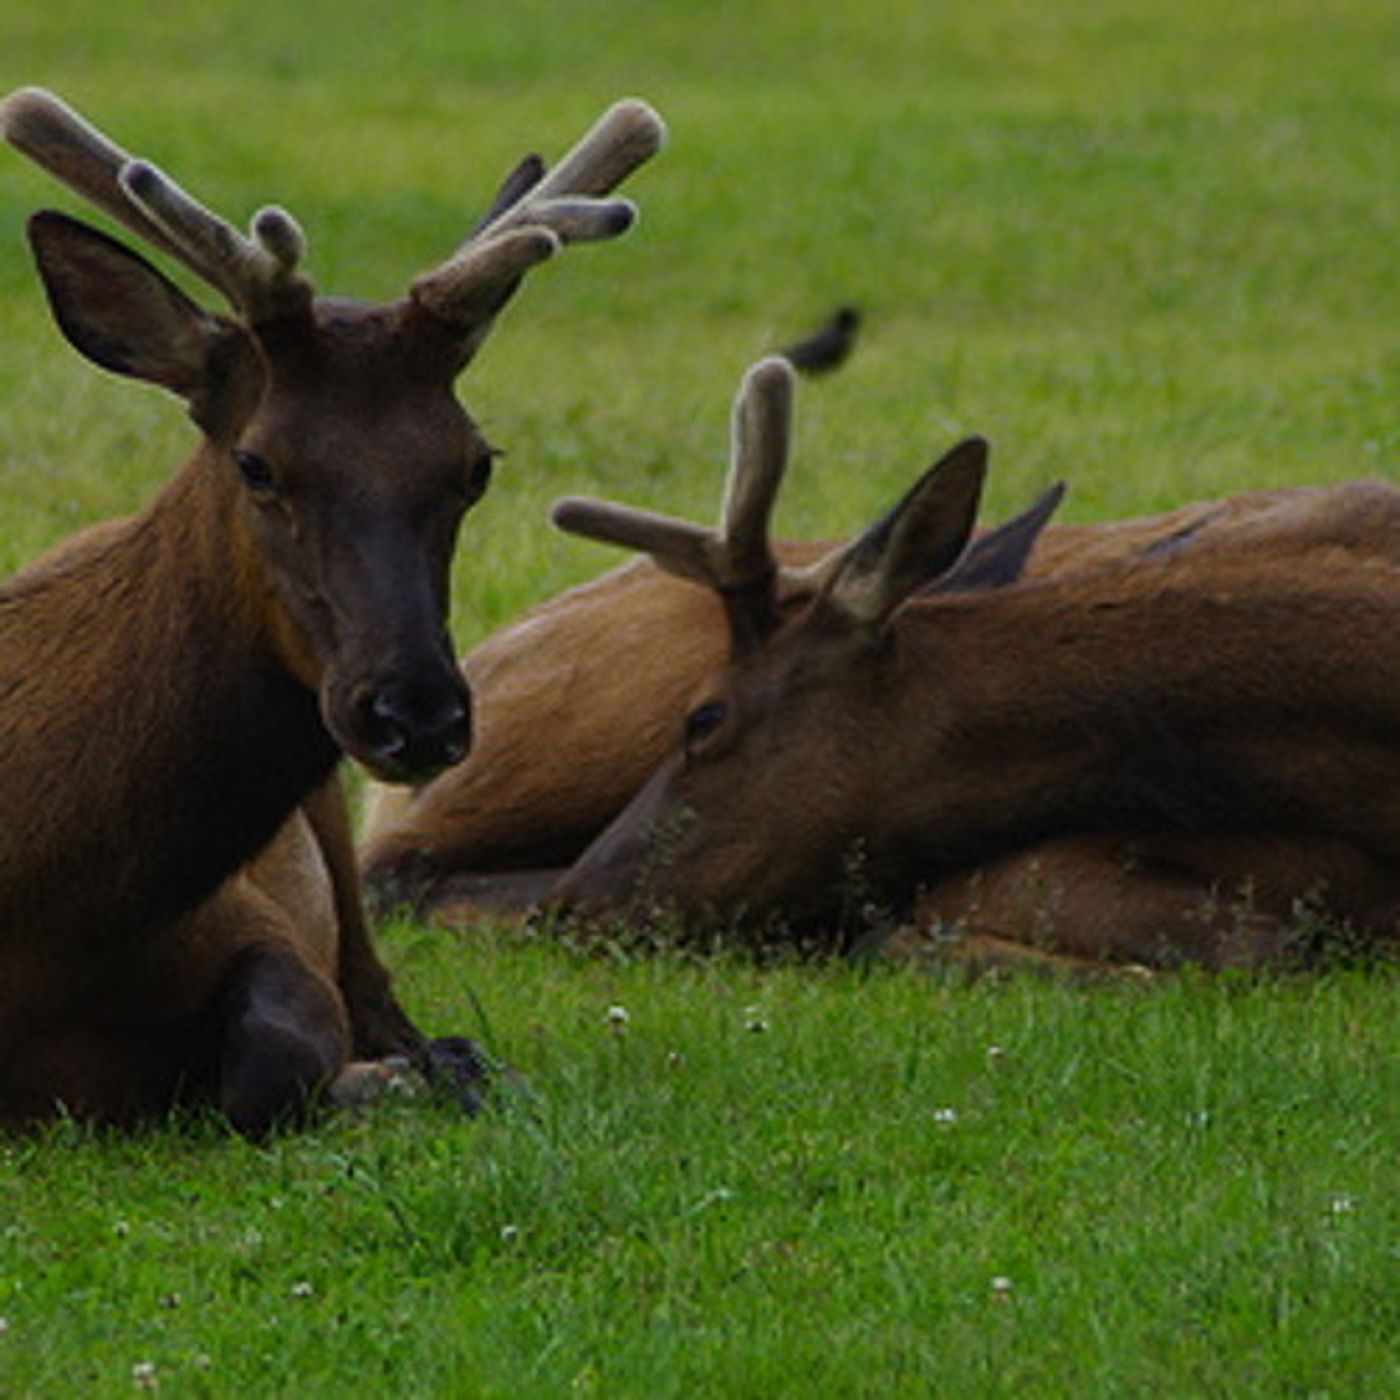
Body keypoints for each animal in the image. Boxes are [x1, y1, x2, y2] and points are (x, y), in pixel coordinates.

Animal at [0, 86, 663, 1134]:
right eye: (256, 462)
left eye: (475, 464)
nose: (415, 713)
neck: (56, 912)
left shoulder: (264, 920)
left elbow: (281, 1056)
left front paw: (401, 1075)